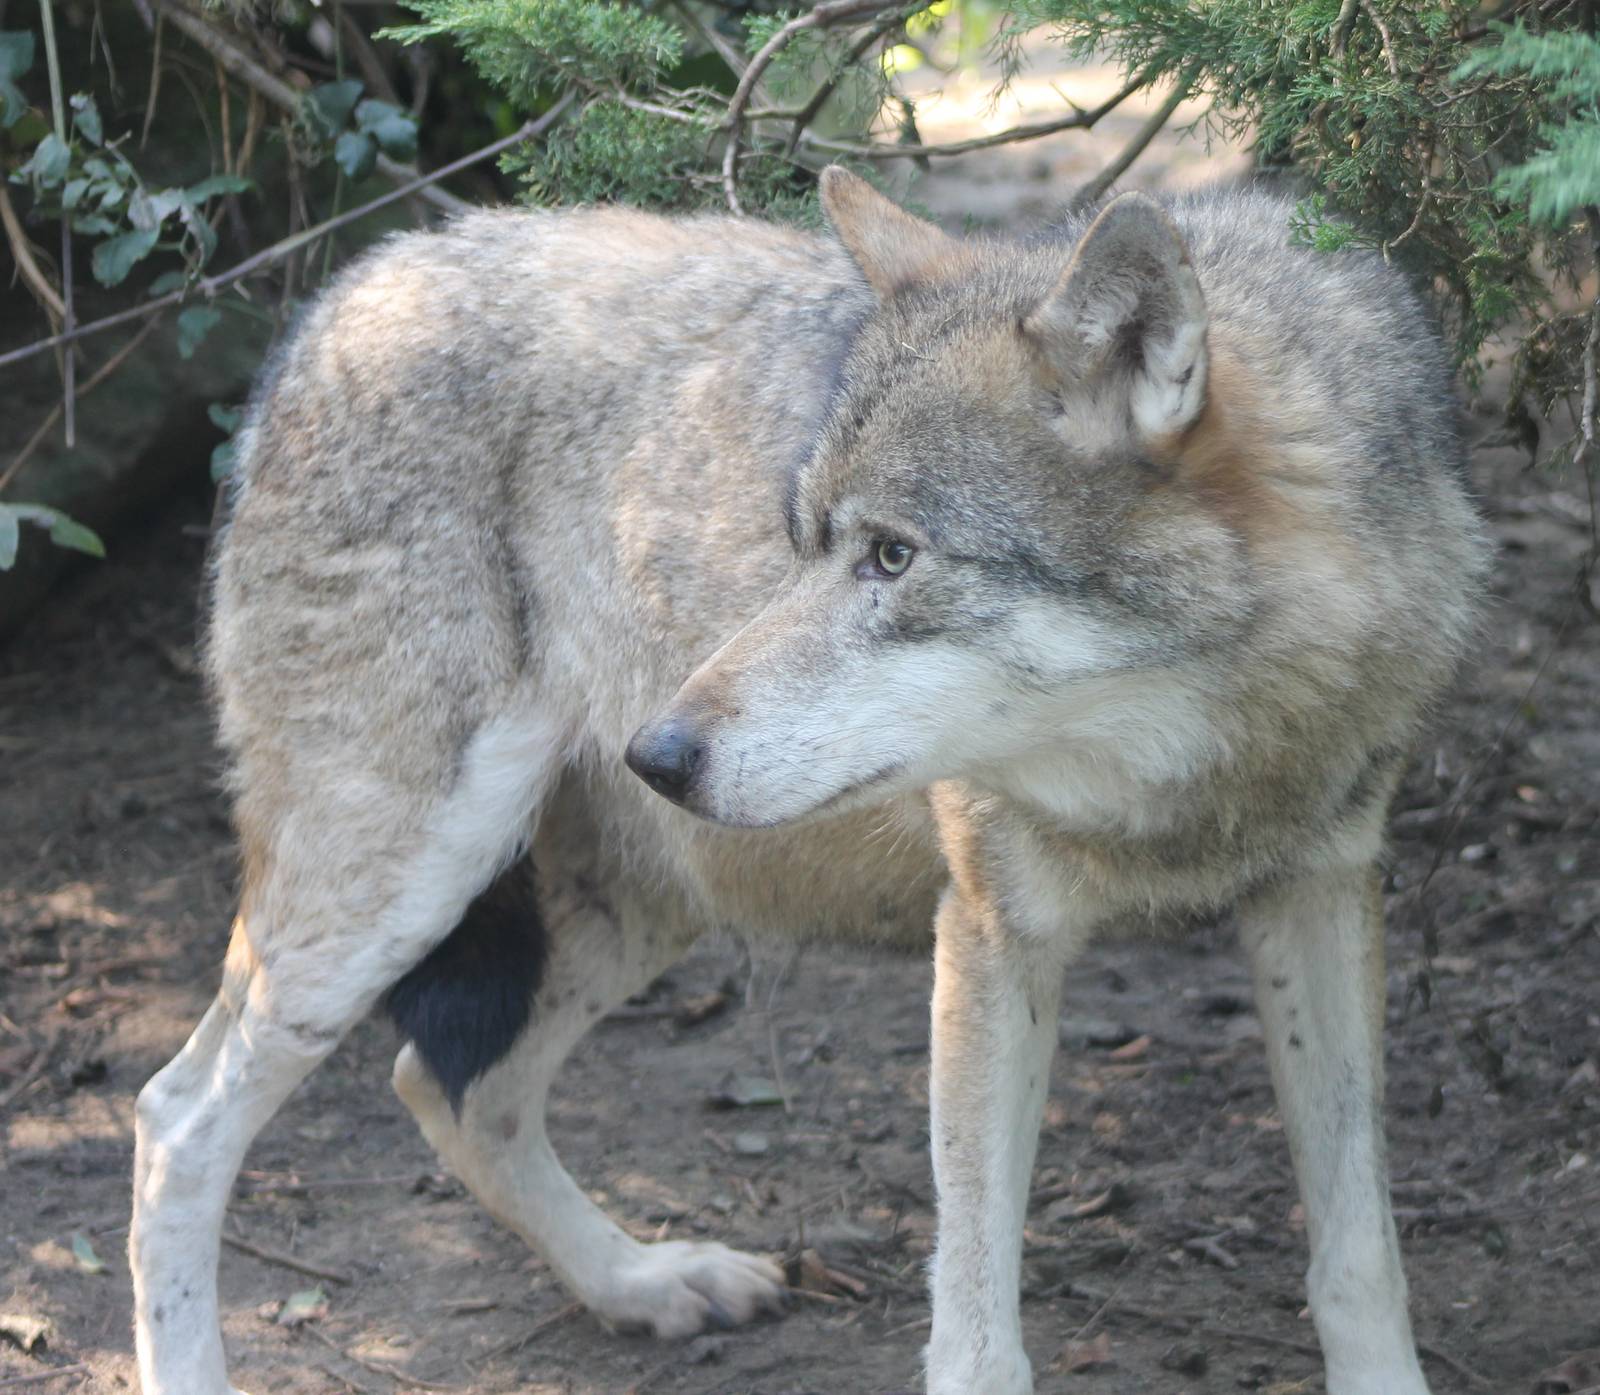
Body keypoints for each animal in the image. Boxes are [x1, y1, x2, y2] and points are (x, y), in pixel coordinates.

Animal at [130, 168, 1487, 1395]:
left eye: (891, 557)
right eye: (807, 543)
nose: (658, 752)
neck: (1199, 770)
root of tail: (350, 285)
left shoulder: (1320, 898)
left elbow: (1358, 1256)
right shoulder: (990, 935)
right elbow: (976, 1334)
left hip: (650, 902)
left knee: (456, 1089)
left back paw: (643, 1284)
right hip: (387, 899)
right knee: (174, 1122)